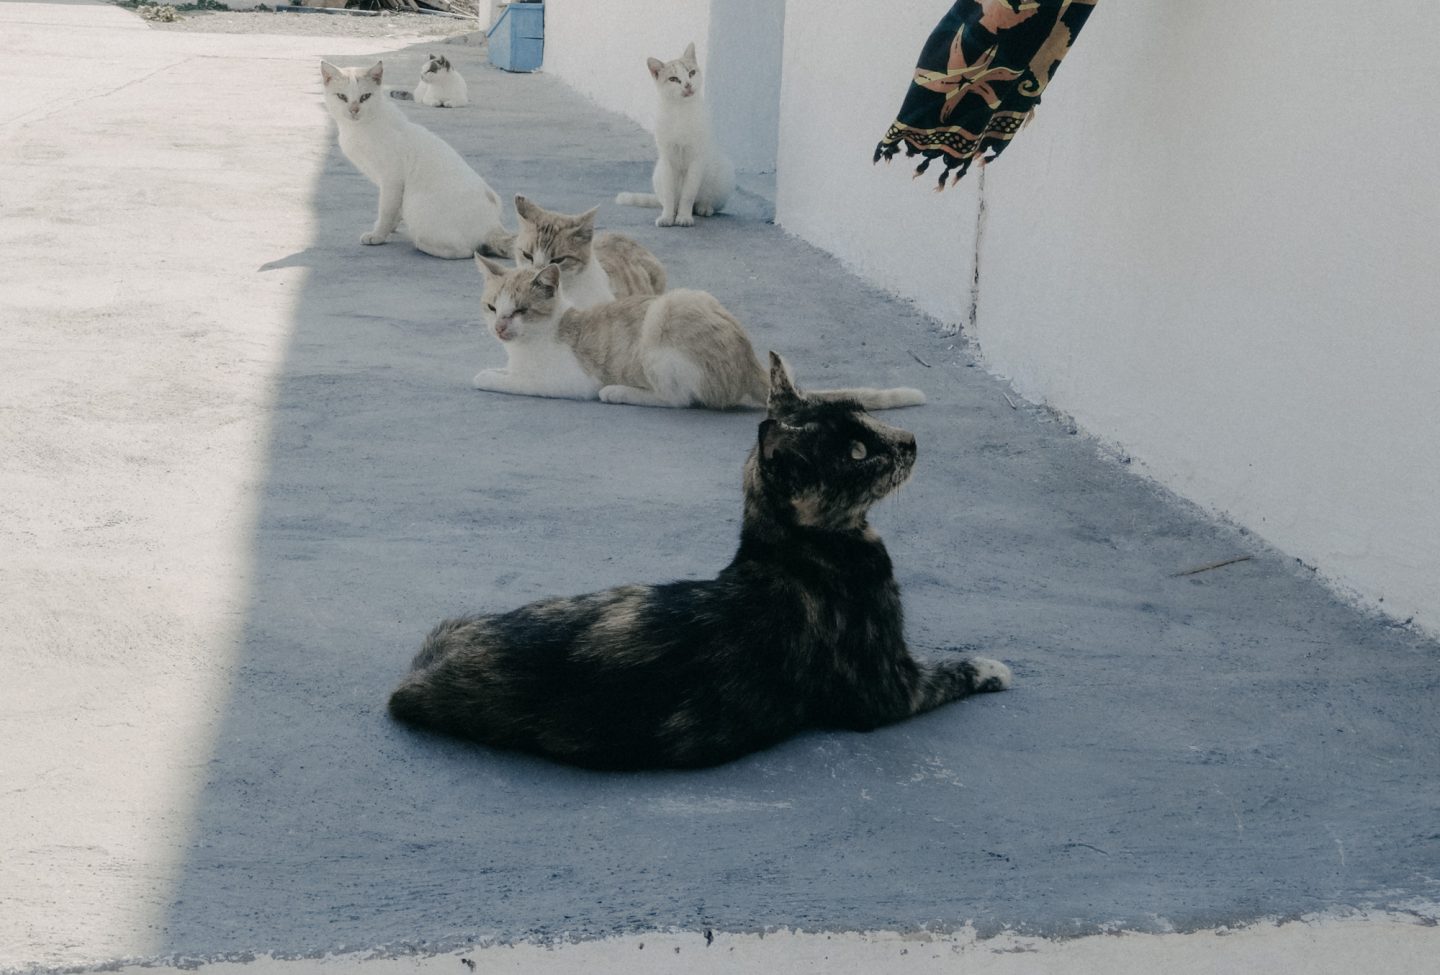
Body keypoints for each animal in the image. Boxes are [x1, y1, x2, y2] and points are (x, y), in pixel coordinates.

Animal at [321, 59, 512, 259]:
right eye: (342, 97)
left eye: (365, 96)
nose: (354, 110)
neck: (357, 130)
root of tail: (494, 225)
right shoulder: (392, 185)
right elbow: (394, 210)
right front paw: (390, 228)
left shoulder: (392, 180)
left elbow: (386, 210)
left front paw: (378, 235)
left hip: (415, 204)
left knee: (468, 251)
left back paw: (421, 244)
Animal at [385, 351, 1013, 766]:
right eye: (858, 453)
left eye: (865, 416)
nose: (909, 440)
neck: (795, 549)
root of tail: (416, 678)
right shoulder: (888, 690)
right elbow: (950, 670)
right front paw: (993, 667)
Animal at [466, 256, 927, 409]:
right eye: (492, 308)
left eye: (521, 310)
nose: (500, 327)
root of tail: (751, 361)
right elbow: (508, 372)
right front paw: (497, 369)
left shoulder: (567, 382)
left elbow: (512, 382)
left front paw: (488, 376)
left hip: (663, 320)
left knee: (678, 400)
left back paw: (621, 392)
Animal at [616, 40, 737, 227]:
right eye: (673, 79)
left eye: (691, 72)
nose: (687, 84)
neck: (680, 111)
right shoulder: (667, 160)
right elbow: (669, 195)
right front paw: (667, 217)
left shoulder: (696, 160)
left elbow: (688, 194)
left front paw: (684, 217)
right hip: (657, 173)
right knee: (669, 200)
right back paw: (673, 210)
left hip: (725, 172)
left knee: (707, 203)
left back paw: (703, 208)